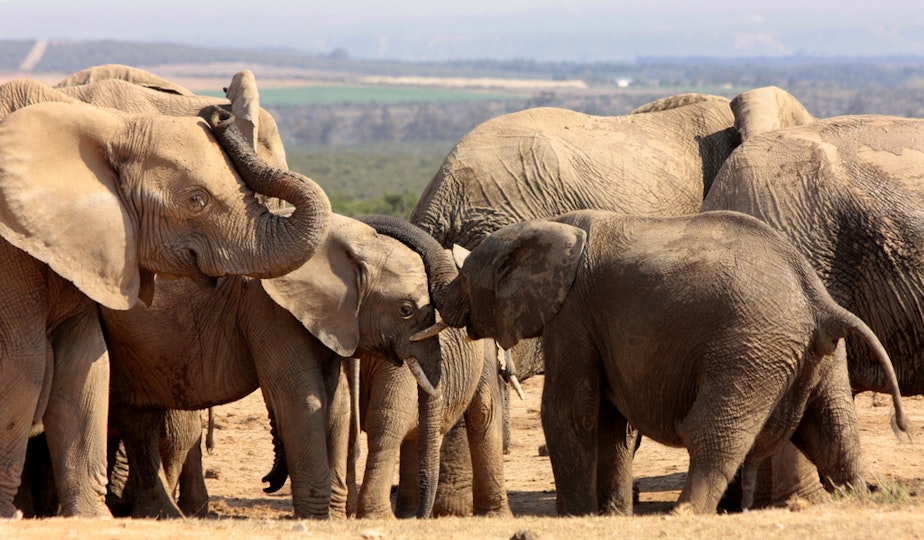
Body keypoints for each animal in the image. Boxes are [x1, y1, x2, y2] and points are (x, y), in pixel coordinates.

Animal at [0, 82, 332, 516]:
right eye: (196, 201)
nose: (219, 112)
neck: (106, 127)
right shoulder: (10, 252)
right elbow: (26, 362)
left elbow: (84, 363)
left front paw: (91, 517)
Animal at [410, 209, 908, 516]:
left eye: (466, 277)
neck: (545, 229)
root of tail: (820, 302)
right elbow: (608, 421)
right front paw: (609, 516)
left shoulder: (572, 314)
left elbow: (571, 412)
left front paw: (575, 517)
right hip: (818, 353)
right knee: (833, 433)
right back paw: (860, 501)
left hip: (749, 346)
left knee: (713, 431)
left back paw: (684, 512)